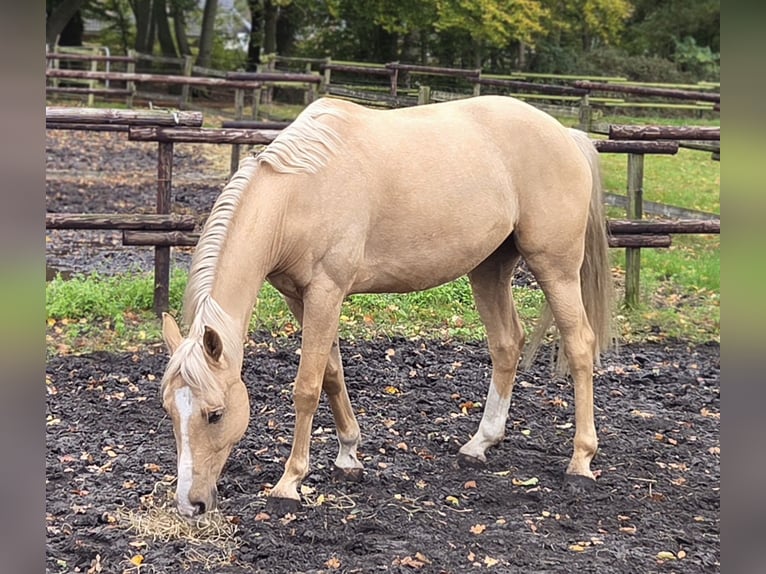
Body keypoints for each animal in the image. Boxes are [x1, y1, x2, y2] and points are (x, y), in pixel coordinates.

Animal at [159, 95, 614, 518]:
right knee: (507, 343)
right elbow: (332, 374)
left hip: (555, 267)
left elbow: (307, 386)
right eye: (169, 412)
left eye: (216, 414)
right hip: (490, 268)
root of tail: (566, 135)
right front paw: (348, 456)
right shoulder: (299, 297)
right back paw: (479, 444)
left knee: (579, 345)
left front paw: (289, 482)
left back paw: (580, 462)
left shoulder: (327, 293)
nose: (190, 504)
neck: (303, 189)